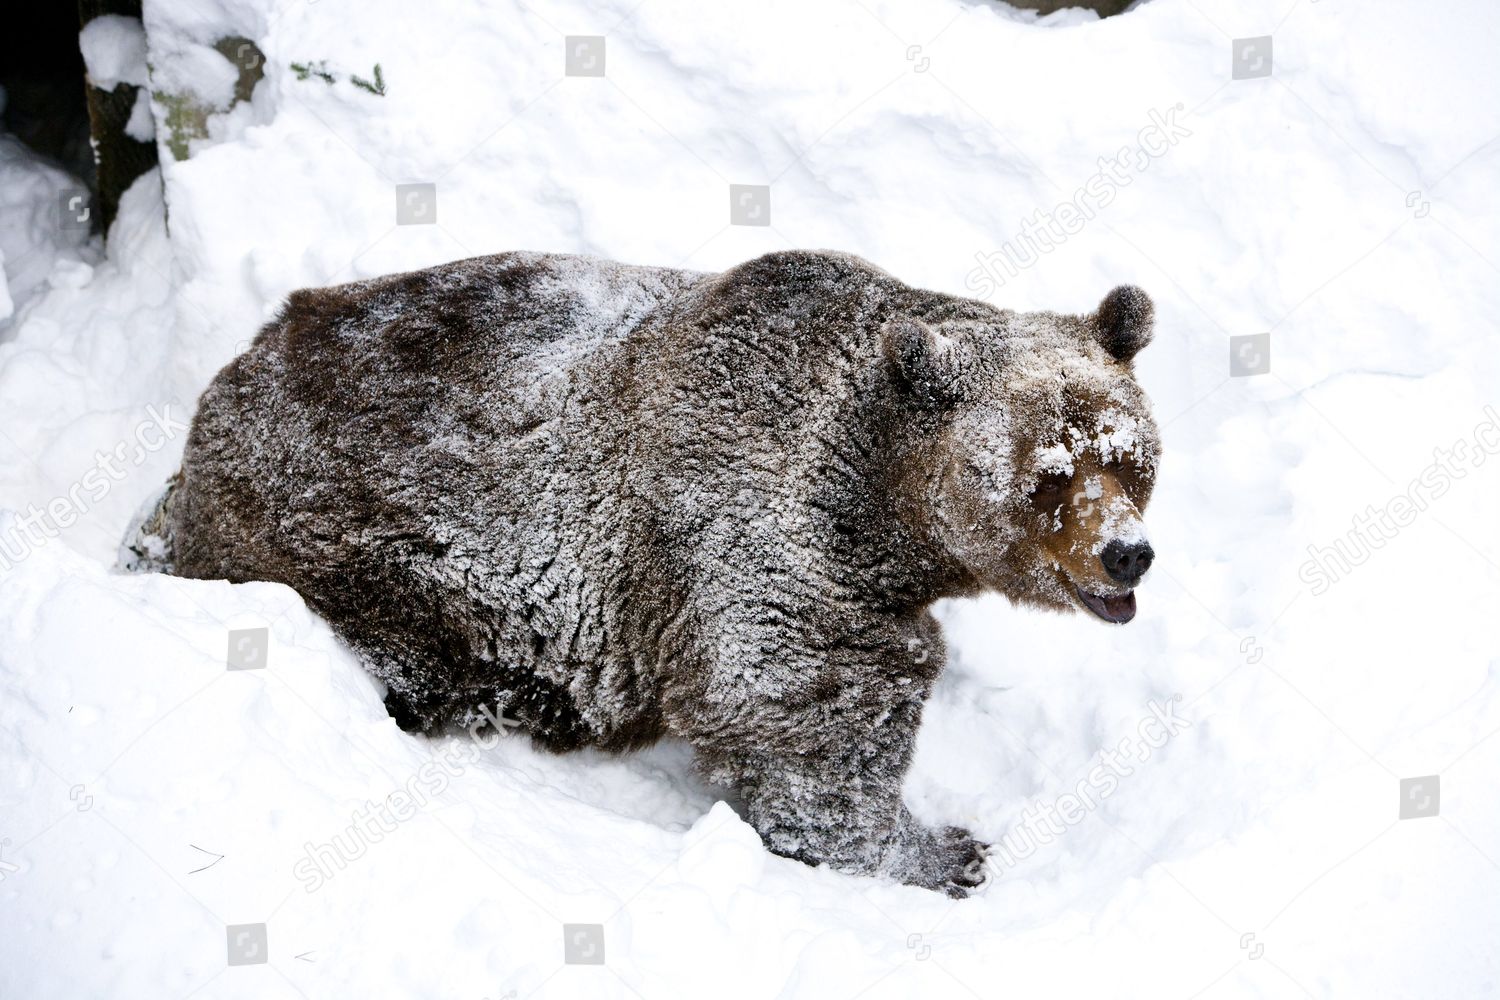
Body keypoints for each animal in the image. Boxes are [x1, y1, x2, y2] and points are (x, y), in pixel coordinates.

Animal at [129, 250, 1158, 899]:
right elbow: (806, 722)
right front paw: (941, 851)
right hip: (352, 538)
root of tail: (225, 384)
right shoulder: (762, 535)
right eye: (1049, 473)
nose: (1128, 552)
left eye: (1128, 456)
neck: (883, 512)